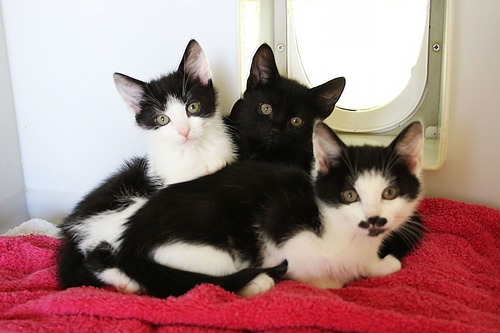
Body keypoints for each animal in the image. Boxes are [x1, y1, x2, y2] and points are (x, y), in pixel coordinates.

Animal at [55, 39, 235, 294]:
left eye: (192, 107)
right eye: (162, 119)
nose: (184, 131)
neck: (193, 152)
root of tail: (70, 228)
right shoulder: (162, 182)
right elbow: (181, 181)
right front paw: (210, 166)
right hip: (127, 209)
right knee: (97, 254)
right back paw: (126, 281)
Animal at [111, 120, 424, 296]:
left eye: (390, 193)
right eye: (350, 195)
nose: (374, 220)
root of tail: (131, 237)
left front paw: (378, 264)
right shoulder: (279, 223)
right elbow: (315, 272)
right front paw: (332, 280)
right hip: (208, 242)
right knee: (201, 281)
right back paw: (257, 282)